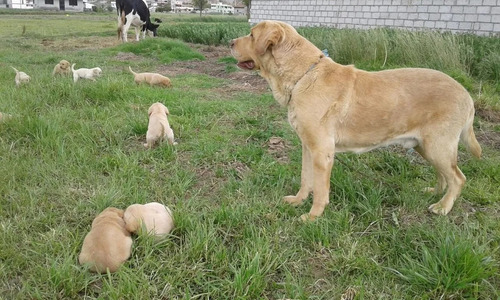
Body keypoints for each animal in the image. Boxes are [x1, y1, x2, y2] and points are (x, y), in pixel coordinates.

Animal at [229, 19, 480, 219]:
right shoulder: (307, 147)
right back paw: (436, 193)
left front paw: (312, 217)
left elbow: (320, 190)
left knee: (458, 178)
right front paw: (298, 201)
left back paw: (443, 207)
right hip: (425, 147)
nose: (230, 42)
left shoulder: (322, 152)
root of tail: (466, 94)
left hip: (438, 146)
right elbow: (305, 179)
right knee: (444, 175)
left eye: (251, 35)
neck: (304, 75)